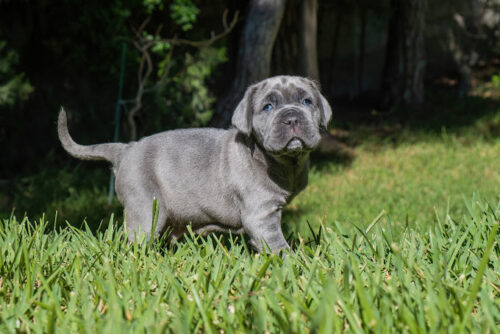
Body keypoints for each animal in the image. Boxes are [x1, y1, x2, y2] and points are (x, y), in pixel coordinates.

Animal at [58, 75, 332, 252]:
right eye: (268, 107)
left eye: (307, 101)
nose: (292, 118)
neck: (284, 162)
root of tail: (126, 149)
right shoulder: (261, 214)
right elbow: (278, 245)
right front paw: (293, 264)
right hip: (145, 208)